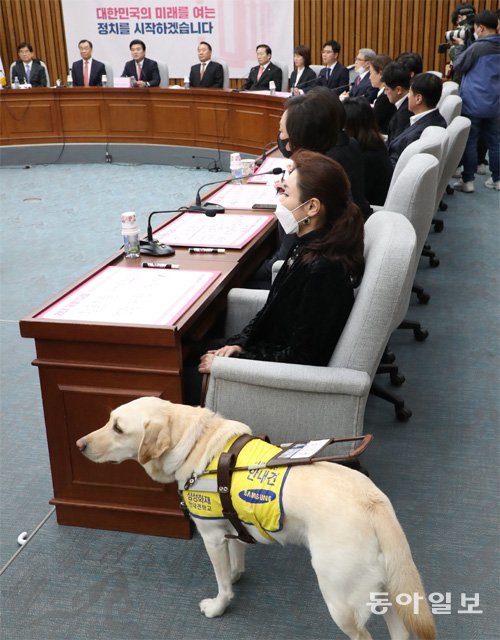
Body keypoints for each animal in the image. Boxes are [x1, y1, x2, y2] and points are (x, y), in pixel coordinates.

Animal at [76, 396, 436, 640]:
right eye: (109, 420)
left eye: (118, 428)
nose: (79, 444)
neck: (194, 441)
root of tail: (373, 502)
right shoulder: (231, 524)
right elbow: (237, 556)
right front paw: (237, 574)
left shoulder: (211, 537)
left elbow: (221, 582)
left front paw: (219, 606)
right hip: (385, 587)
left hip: (341, 598)